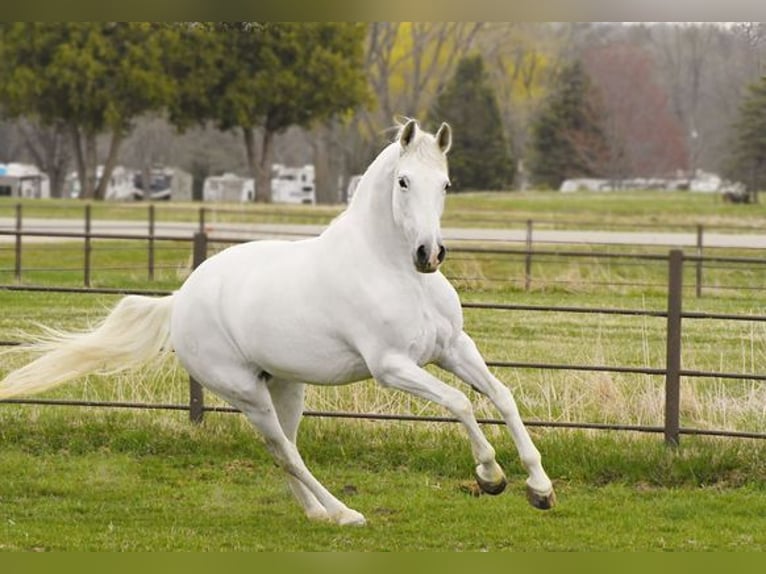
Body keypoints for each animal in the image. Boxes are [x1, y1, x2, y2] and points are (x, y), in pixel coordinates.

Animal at [0, 120, 556, 528]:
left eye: (445, 184)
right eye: (403, 182)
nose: (430, 254)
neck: (393, 271)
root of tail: (181, 299)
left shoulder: (454, 348)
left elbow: (501, 396)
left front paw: (540, 487)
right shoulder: (392, 367)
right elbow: (461, 403)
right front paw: (490, 476)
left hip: (286, 387)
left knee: (285, 450)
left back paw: (318, 513)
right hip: (247, 393)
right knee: (286, 452)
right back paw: (345, 514)